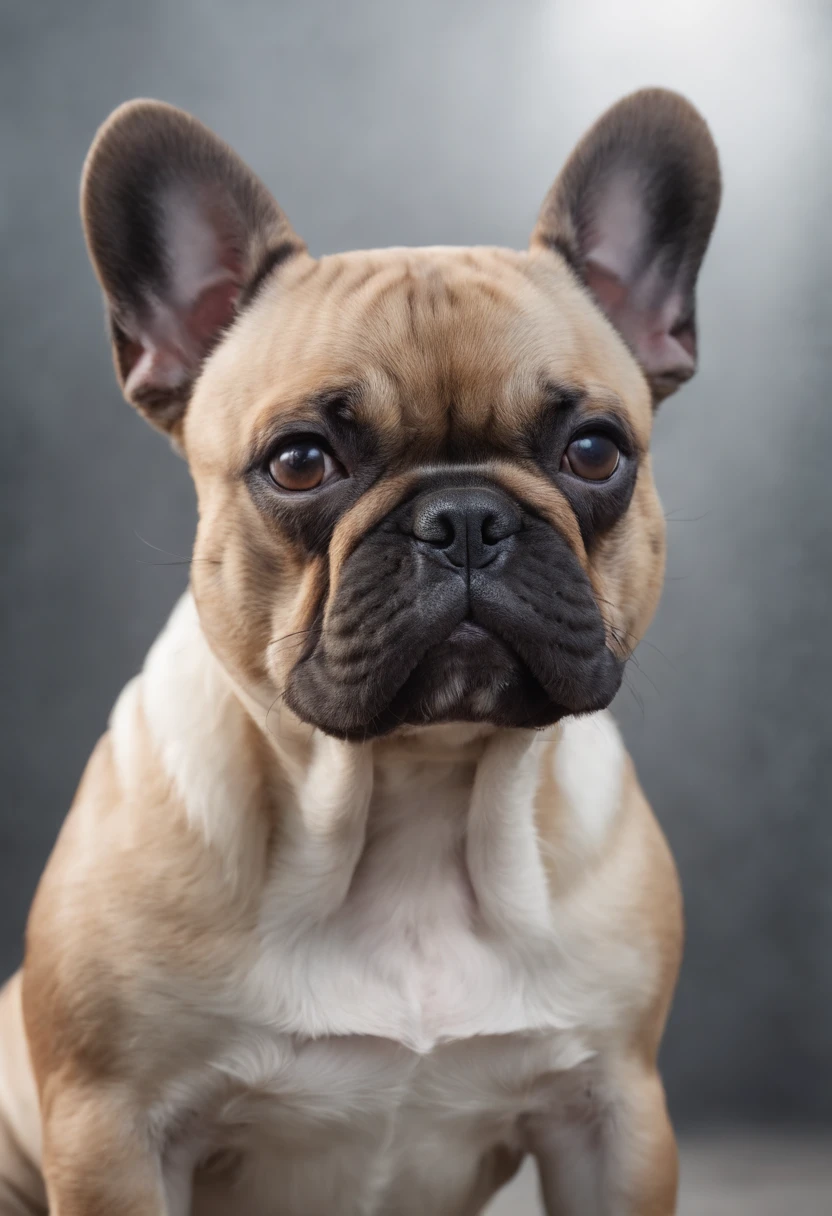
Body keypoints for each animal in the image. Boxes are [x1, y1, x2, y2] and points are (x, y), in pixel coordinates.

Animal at [0, 88, 715, 1216]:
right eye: (300, 462)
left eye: (595, 450)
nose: (464, 518)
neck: (411, 796)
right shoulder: (112, 1128)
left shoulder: (616, 1113)